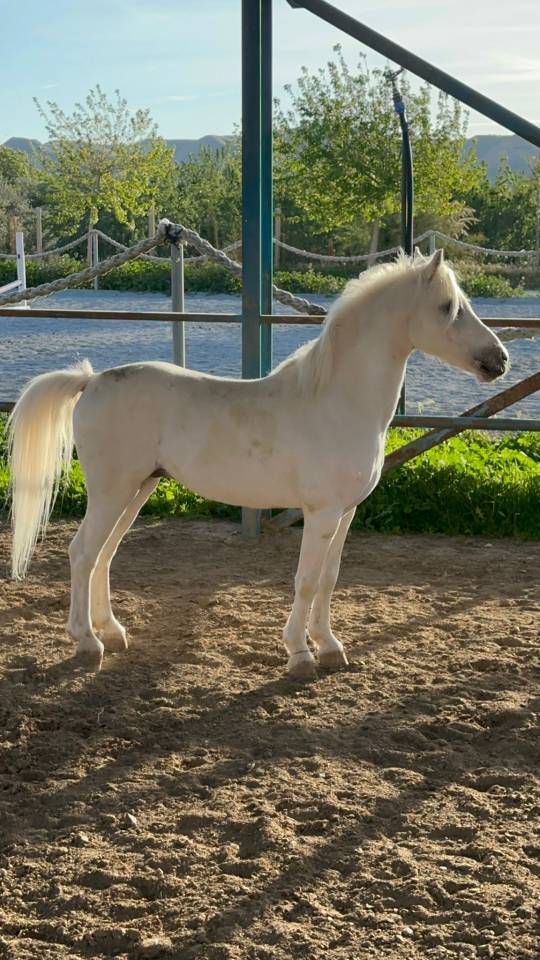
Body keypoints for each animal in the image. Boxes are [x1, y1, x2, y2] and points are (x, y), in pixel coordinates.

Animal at [8, 249, 508, 679]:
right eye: (448, 307)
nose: (499, 360)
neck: (338, 401)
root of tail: (91, 381)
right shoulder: (321, 512)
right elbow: (306, 580)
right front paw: (301, 654)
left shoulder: (346, 513)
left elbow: (329, 579)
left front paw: (330, 647)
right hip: (112, 492)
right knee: (82, 554)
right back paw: (87, 642)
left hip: (138, 489)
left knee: (103, 556)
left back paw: (112, 633)